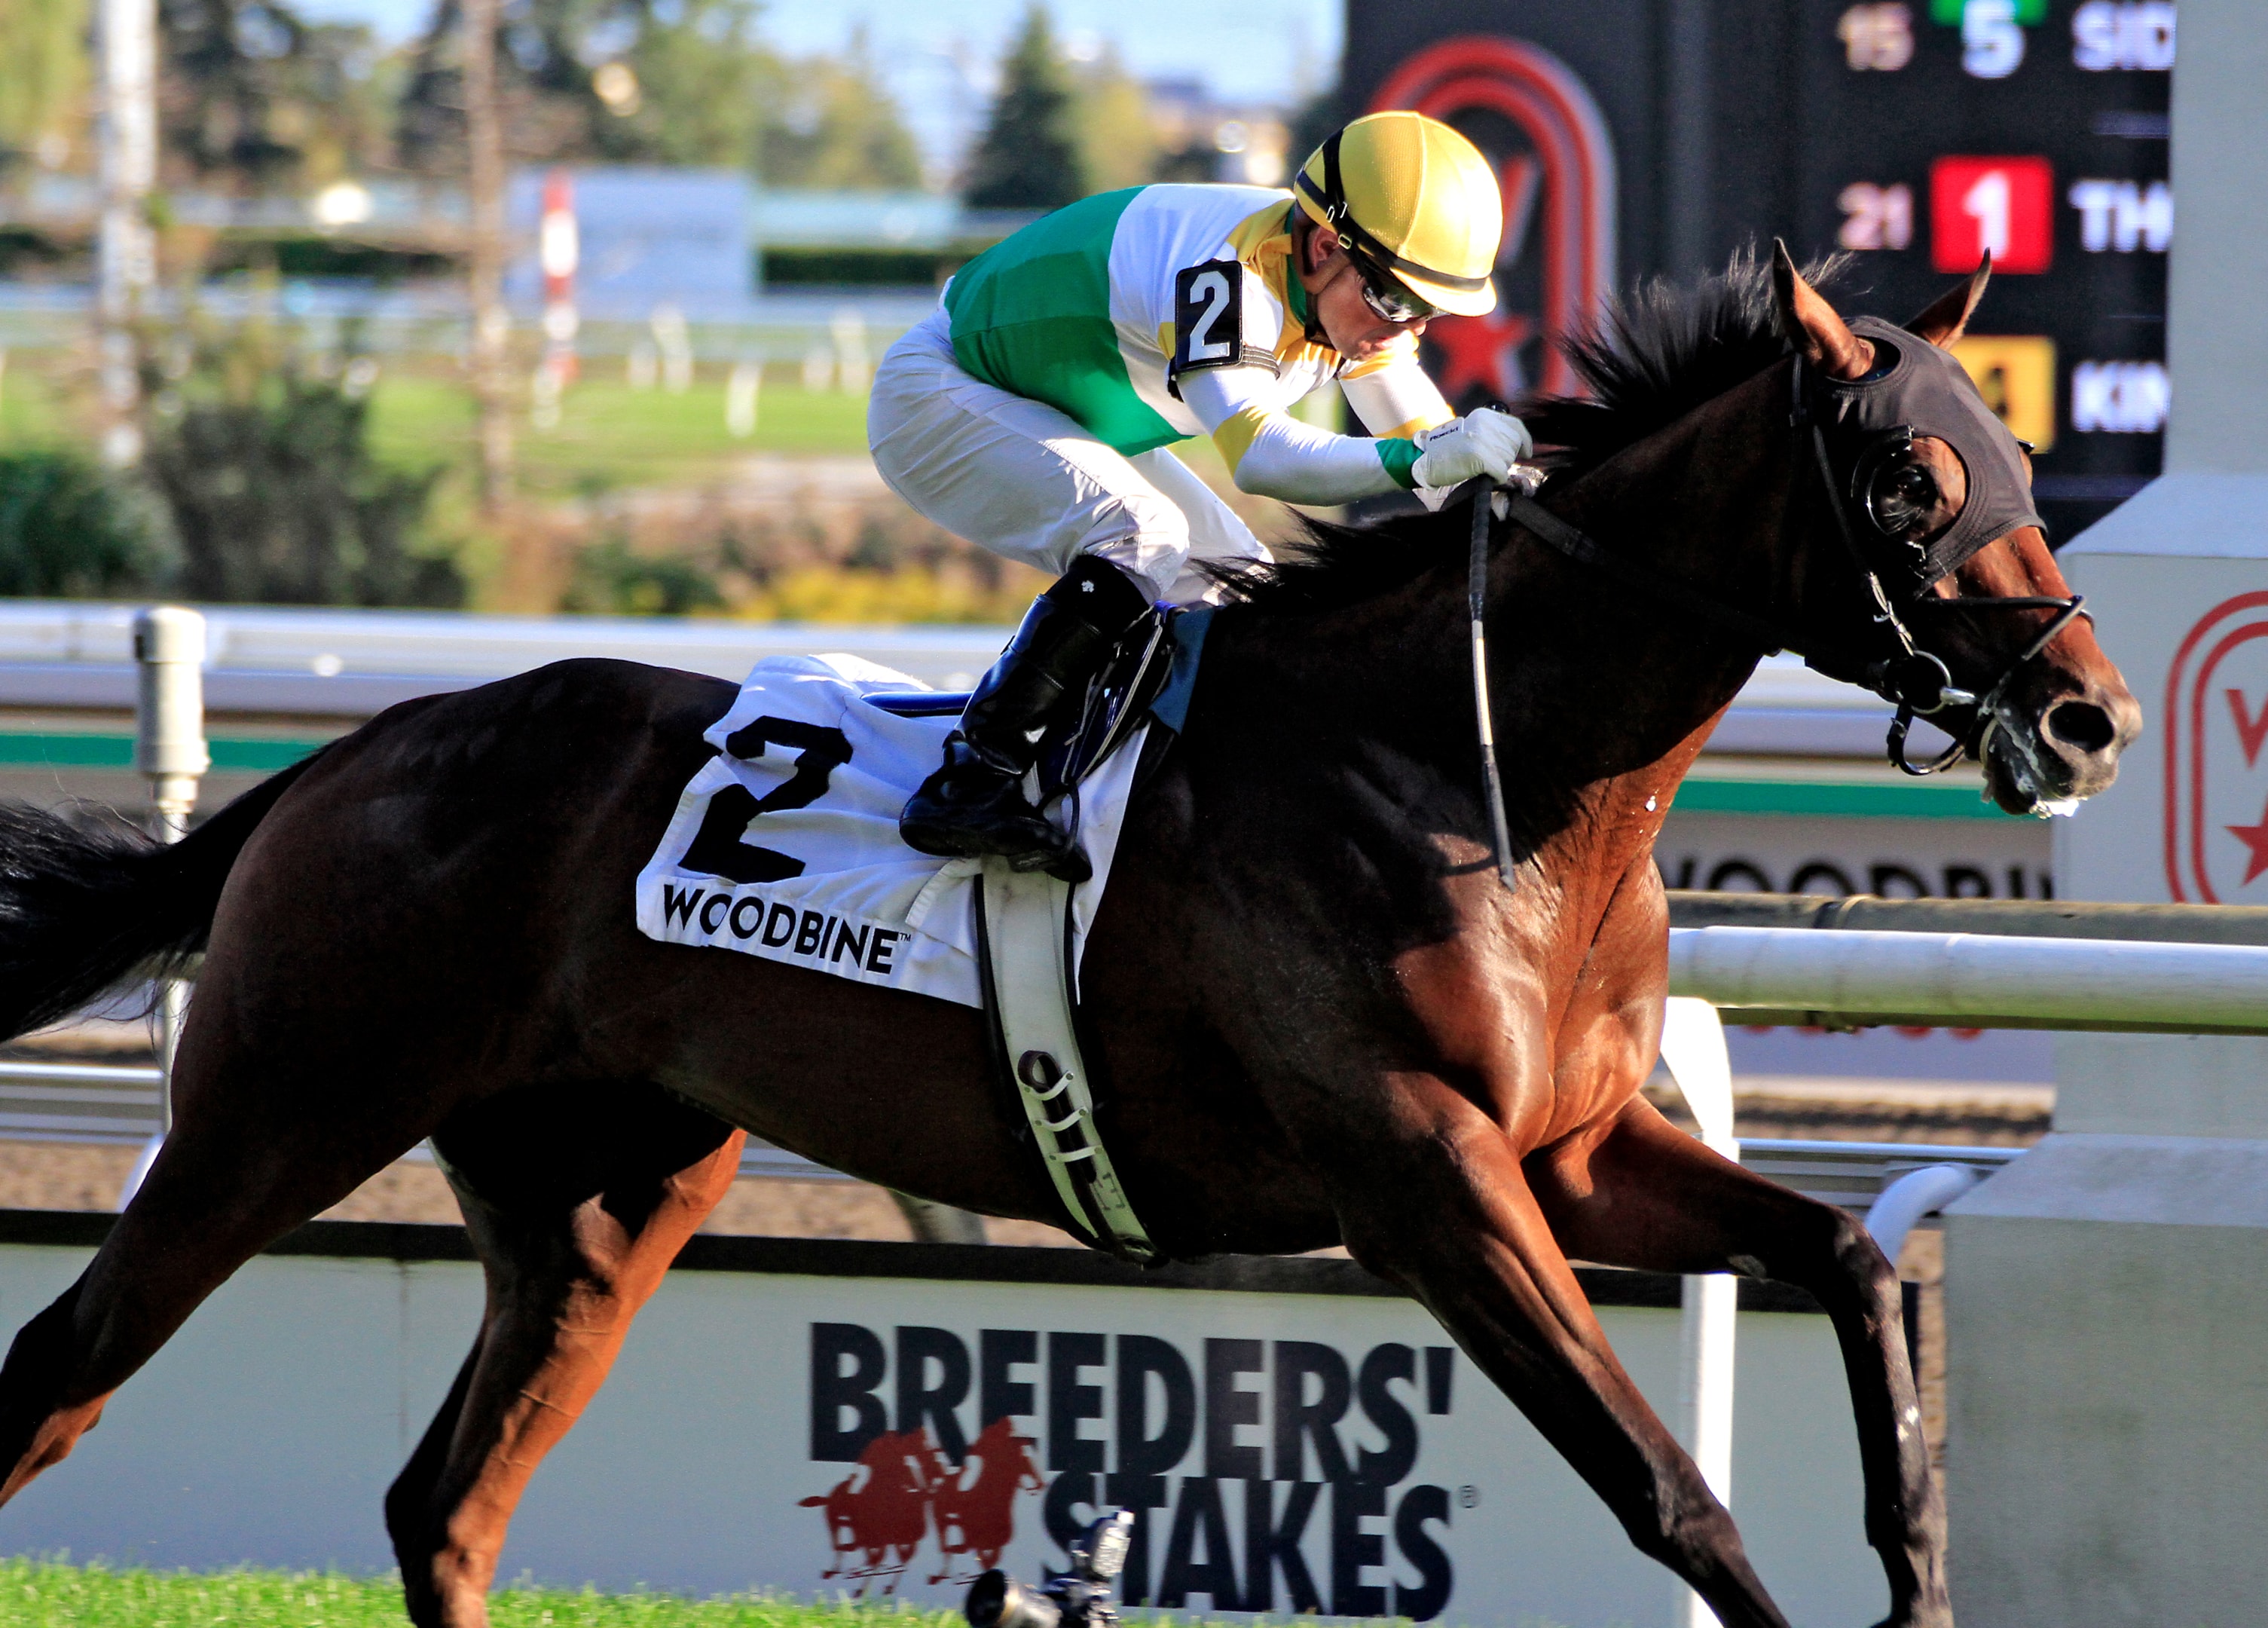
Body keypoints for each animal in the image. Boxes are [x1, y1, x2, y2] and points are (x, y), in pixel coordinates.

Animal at [0, 248, 2141, 1623]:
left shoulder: (1579, 1147)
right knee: (57, 1373)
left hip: (602, 1202)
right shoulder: (1426, 1180)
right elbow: (1671, 1491)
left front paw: (1922, 1561)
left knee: (445, 1508)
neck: (1473, 770)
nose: (2087, 719)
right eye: (1908, 476)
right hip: (276, 1112)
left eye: (2025, 467)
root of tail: (343, 761)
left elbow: (1849, 1265)